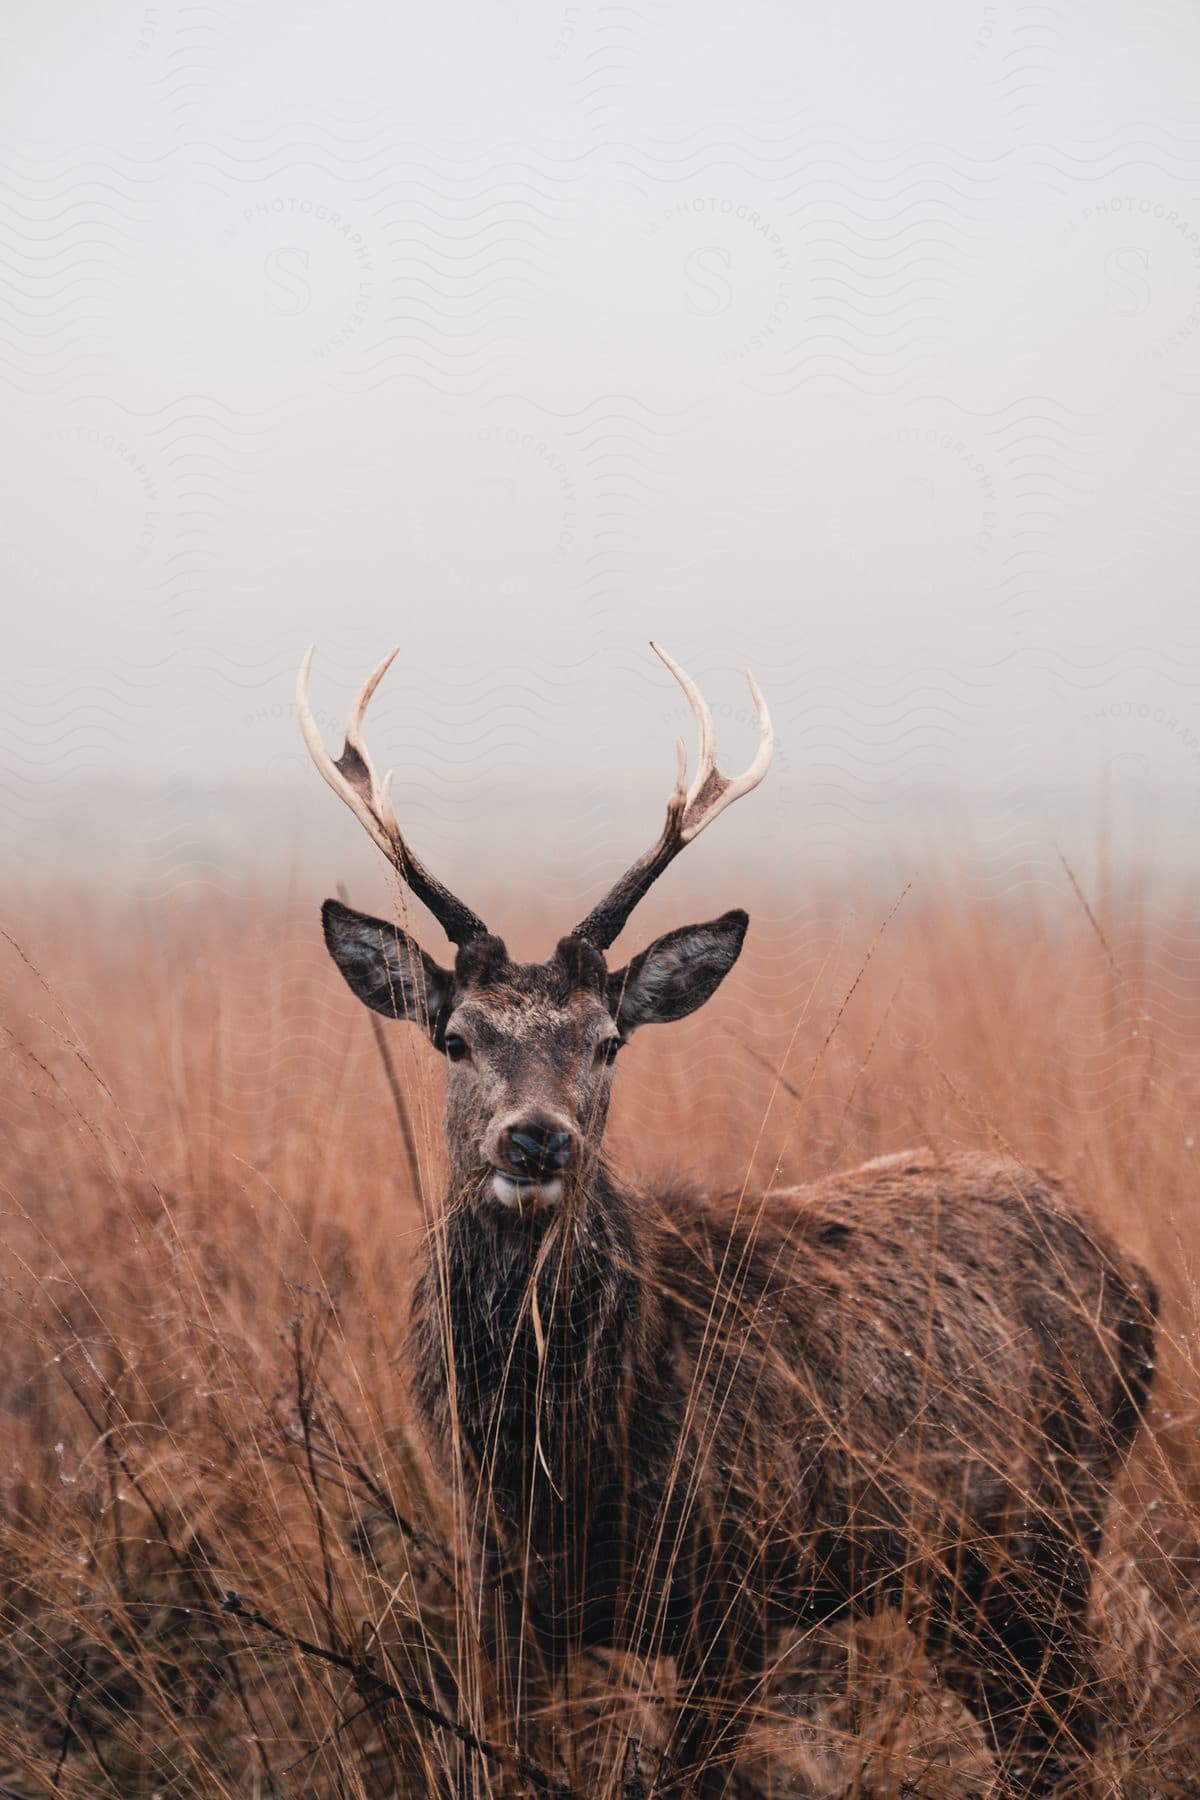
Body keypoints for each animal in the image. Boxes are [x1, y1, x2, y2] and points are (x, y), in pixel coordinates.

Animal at [295, 640, 1158, 1792]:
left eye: (609, 1040)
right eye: (457, 1037)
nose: (537, 1140)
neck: (564, 1460)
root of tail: (1138, 1276)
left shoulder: (736, 1589)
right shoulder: (498, 1593)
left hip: (1058, 1521)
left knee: (1073, 1722)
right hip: (959, 1576)